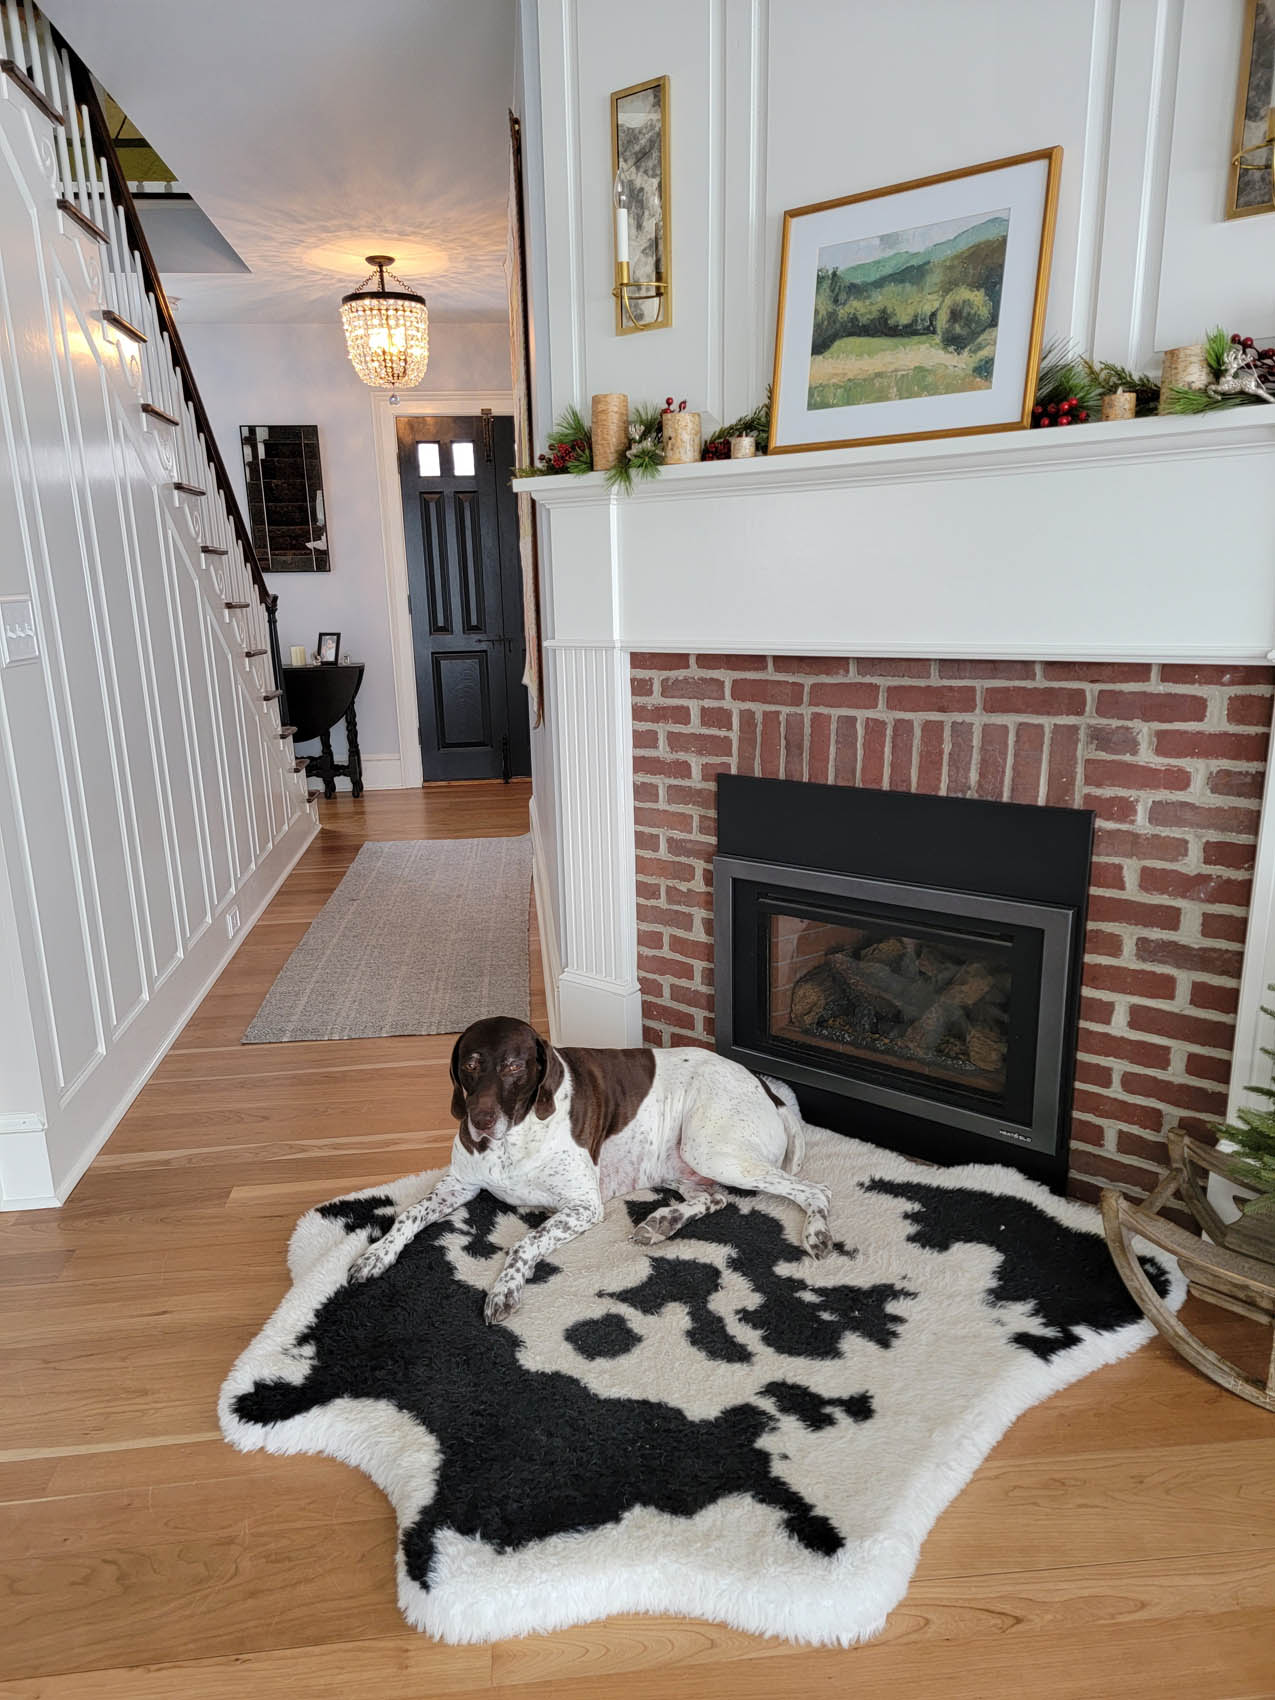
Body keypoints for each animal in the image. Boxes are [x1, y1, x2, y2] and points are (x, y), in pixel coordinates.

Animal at [345, 1013, 833, 1319]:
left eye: (514, 1066)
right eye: (470, 1064)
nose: (479, 1121)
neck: (514, 1135)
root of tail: (767, 1089)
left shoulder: (583, 1206)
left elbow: (524, 1243)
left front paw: (505, 1288)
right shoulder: (460, 1184)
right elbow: (408, 1214)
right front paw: (375, 1255)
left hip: (711, 1149)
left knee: (817, 1190)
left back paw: (817, 1234)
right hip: (684, 1165)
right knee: (714, 1199)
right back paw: (662, 1222)